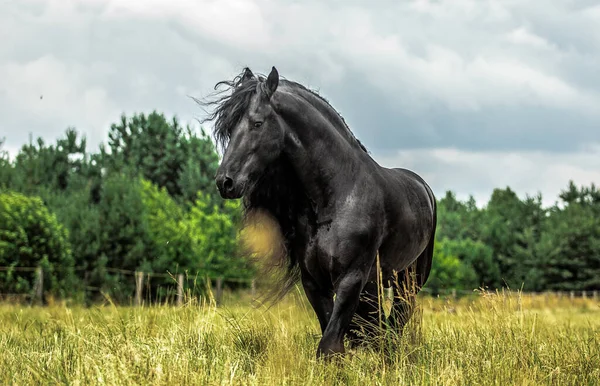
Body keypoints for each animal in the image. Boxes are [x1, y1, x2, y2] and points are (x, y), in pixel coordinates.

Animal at [202, 66, 436, 358]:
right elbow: (334, 339)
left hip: (410, 278)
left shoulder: (350, 279)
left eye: (257, 123)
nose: (225, 182)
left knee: (397, 320)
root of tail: (423, 188)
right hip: (377, 281)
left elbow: (329, 346)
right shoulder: (315, 282)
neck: (337, 197)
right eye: (231, 128)